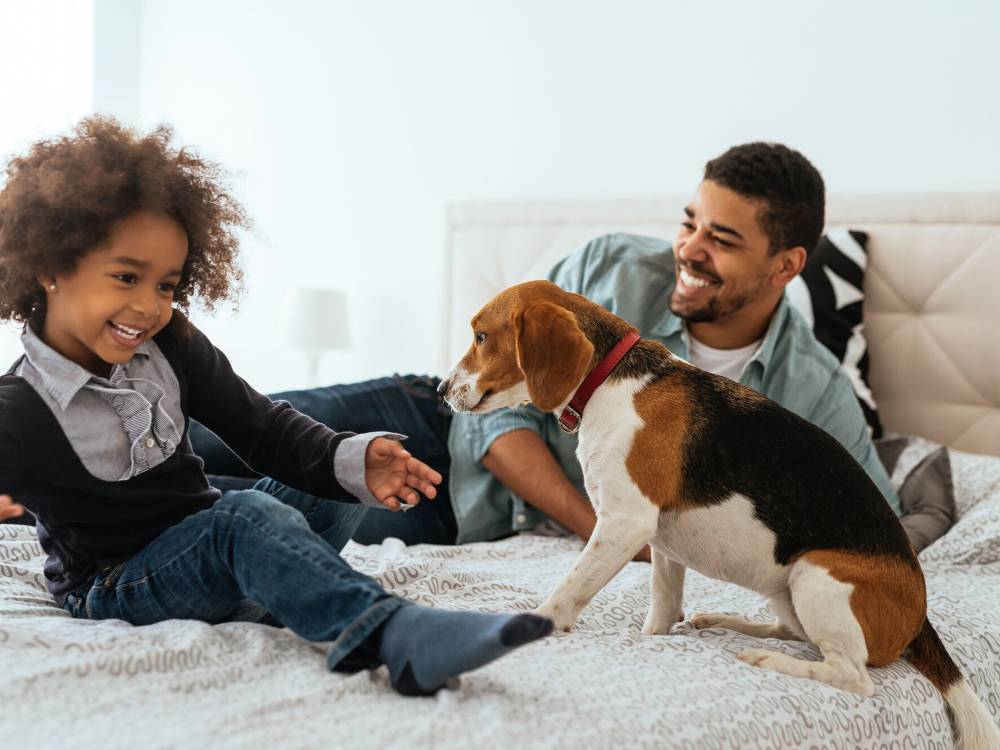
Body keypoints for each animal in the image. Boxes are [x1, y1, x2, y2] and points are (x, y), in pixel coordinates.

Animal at [440, 280, 1000, 748]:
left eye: (482, 336)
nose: (443, 390)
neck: (606, 382)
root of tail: (921, 618)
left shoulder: (624, 525)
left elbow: (567, 591)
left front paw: (532, 624)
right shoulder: (661, 544)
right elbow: (660, 610)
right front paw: (658, 635)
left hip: (818, 573)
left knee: (852, 674)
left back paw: (765, 658)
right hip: (790, 587)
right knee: (796, 633)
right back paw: (722, 621)